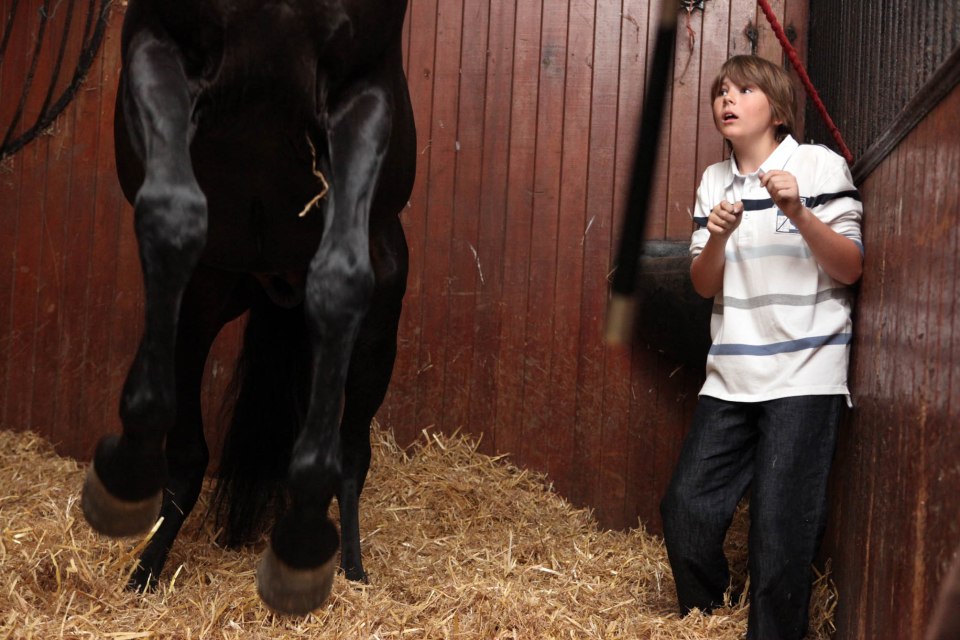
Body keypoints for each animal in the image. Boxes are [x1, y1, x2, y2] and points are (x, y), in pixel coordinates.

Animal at [79, 0, 416, 616]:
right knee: (189, 457)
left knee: (353, 452)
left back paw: (346, 566)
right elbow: (170, 214)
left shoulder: (365, 88)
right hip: (201, 310)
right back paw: (144, 567)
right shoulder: (154, 45)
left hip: (375, 343)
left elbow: (342, 275)